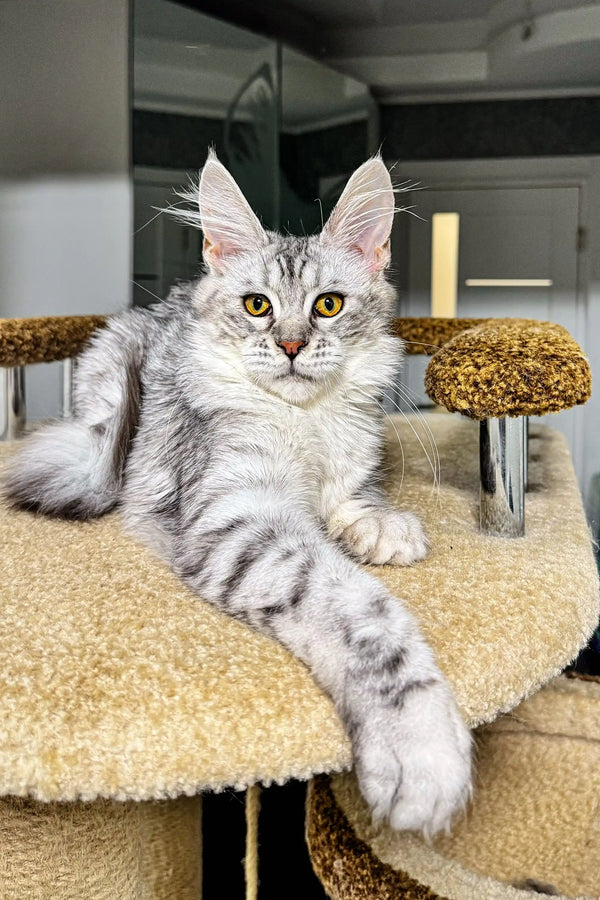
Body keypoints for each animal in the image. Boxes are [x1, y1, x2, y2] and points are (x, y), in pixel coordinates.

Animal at [5, 153, 474, 836]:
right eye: (258, 306)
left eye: (328, 305)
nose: (291, 345)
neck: (302, 422)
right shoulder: (240, 518)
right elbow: (362, 614)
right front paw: (423, 748)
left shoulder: (348, 465)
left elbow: (358, 499)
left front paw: (382, 528)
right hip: (110, 399)